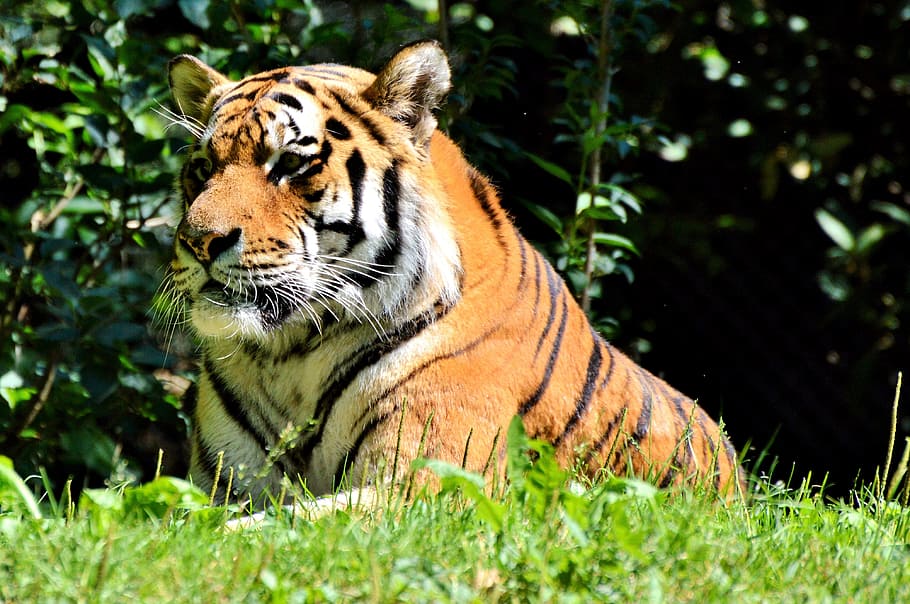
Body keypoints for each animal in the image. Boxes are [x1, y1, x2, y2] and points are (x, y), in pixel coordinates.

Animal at [161, 40, 744, 506]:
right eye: (203, 168)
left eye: (289, 163)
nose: (198, 241)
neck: (289, 358)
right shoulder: (221, 486)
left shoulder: (428, 487)